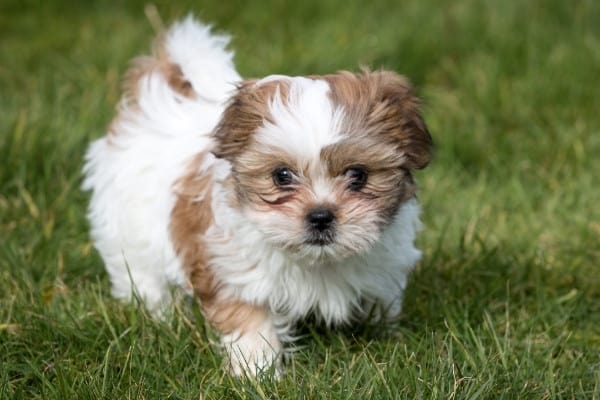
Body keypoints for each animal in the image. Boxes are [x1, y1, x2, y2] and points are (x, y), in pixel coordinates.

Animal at [83, 16, 432, 378]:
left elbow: (380, 303)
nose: (320, 215)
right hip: (128, 234)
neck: (316, 262)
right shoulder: (234, 270)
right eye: (282, 176)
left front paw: (385, 338)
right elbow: (251, 319)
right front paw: (257, 372)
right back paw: (159, 315)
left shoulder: (384, 267)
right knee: (140, 276)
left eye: (358, 175)